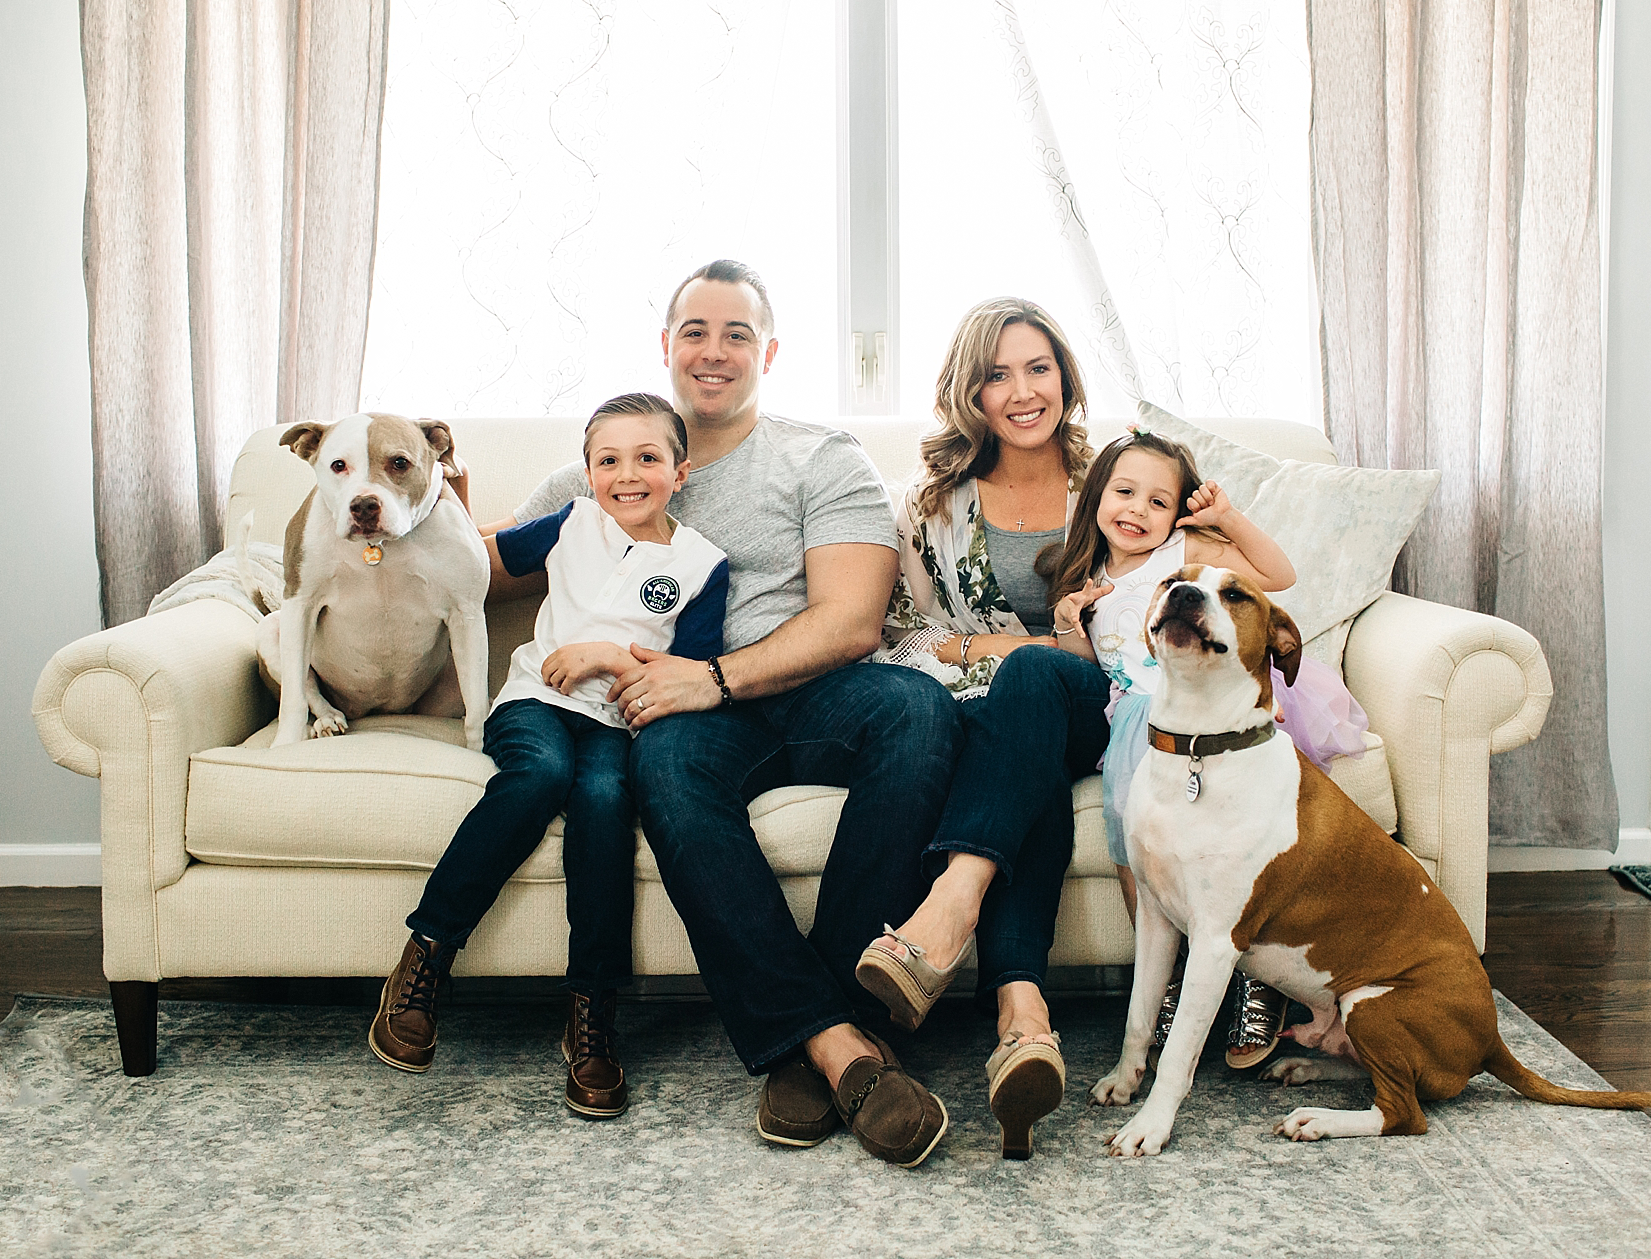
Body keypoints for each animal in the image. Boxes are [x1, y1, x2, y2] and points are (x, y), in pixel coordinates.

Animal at [259, 410, 488, 749]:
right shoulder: (299, 604)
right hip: (271, 628)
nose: (364, 505)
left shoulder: (467, 615)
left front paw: (479, 750)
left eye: (400, 463)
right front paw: (285, 745)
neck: (378, 548)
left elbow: (477, 707)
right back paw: (327, 719)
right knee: (308, 688)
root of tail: (377, 709)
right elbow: (294, 696)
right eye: (338, 465)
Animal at [1089, 567, 1644, 1155]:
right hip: (1352, 1017)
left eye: (1236, 594)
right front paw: (1122, 1083)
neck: (1200, 747)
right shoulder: (1156, 921)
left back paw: (1317, 1119)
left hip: (1372, 1002)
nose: (1184, 594)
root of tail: (1492, 1039)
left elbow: (1178, 1053)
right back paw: (1303, 1069)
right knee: (1372, 1074)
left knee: (1404, 1112)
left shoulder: (1216, 941)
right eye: (1173, 579)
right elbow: (1139, 1016)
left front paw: (1149, 1128)